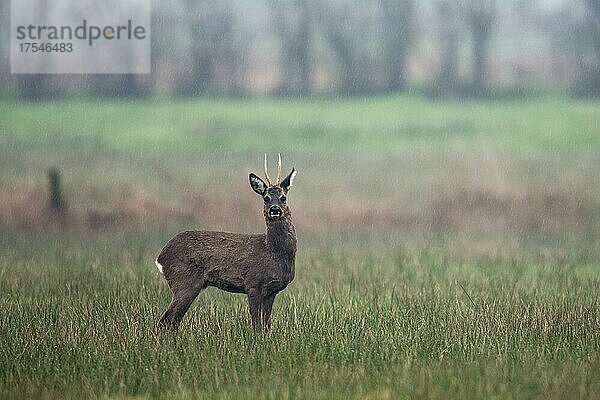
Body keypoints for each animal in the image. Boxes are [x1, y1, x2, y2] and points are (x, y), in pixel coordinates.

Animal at [154, 154, 296, 332]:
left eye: (284, 197)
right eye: (266, 198)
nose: (275, 210)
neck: (273, 252)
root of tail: (161, 257)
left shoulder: (271, 291)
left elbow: (266, 325)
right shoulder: (252, 283)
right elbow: (256, 324)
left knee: (172, 321)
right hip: (184, 282)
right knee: (165, 320)